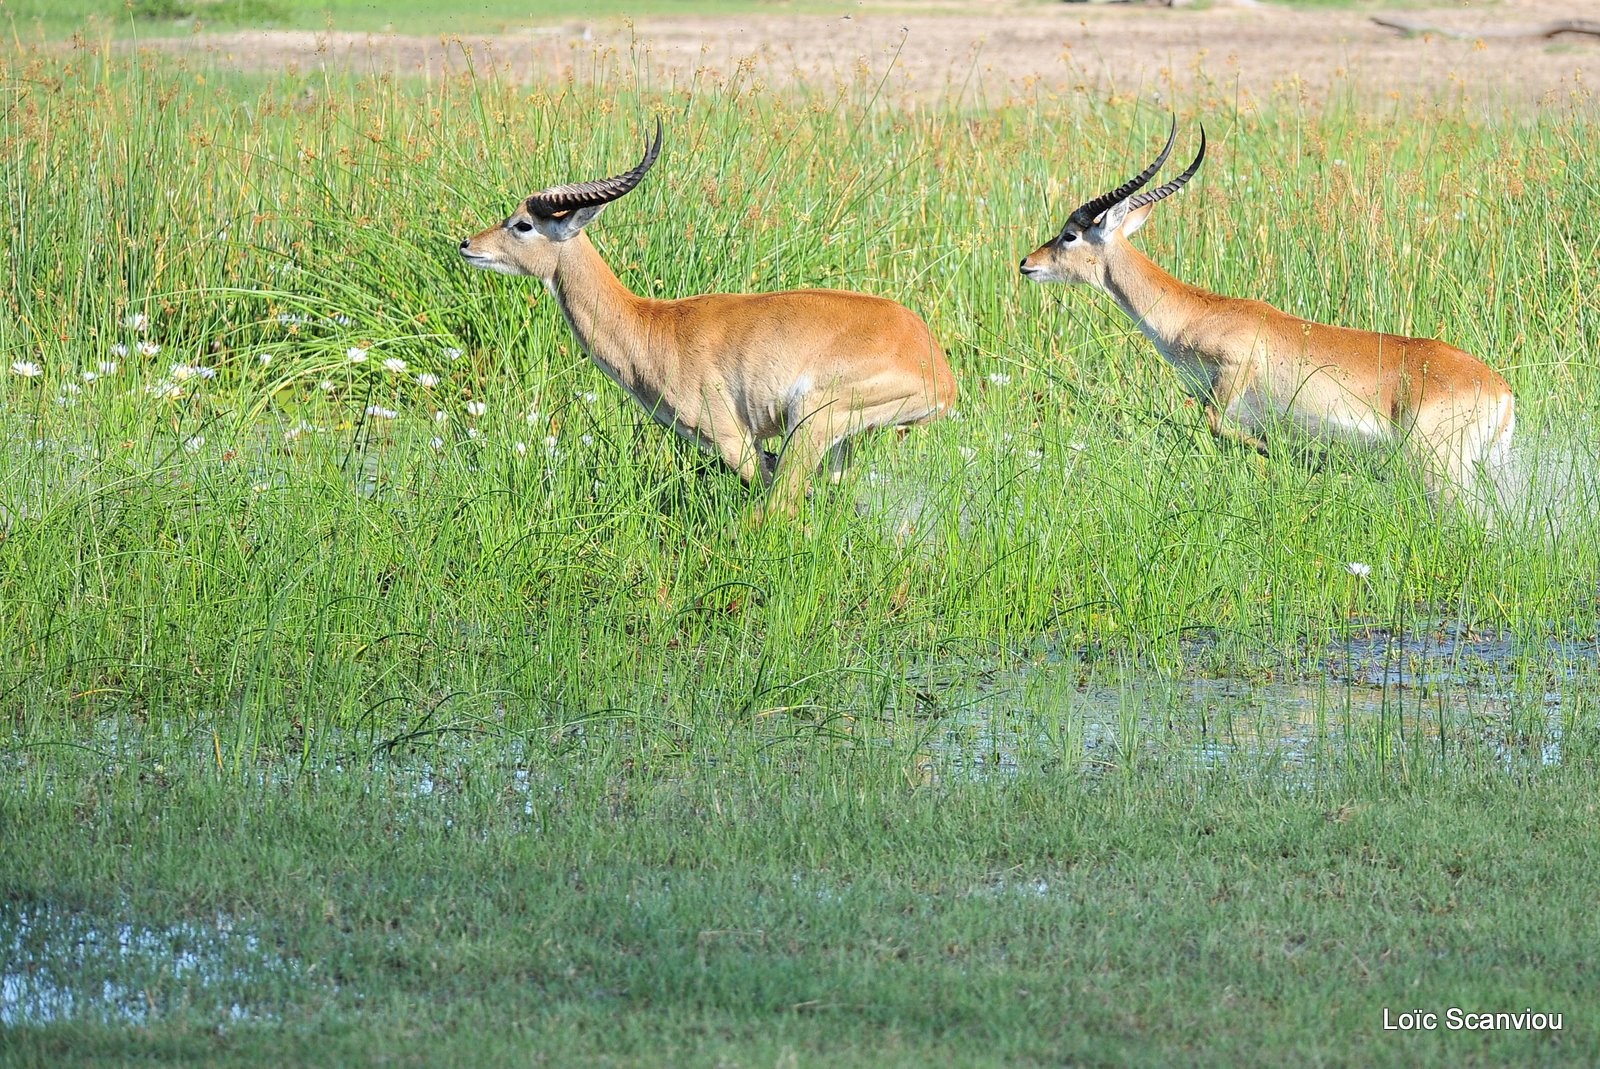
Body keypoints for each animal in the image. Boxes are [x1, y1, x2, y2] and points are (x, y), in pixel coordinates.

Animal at [457, 120, 953, 521]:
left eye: (523, 224)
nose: (466, 244)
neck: (652, 326)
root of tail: (939, 369)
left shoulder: (734, 441)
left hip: (812, 419)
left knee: (780, 507)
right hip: (840, 443)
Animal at [1017, 120, 1516, 512]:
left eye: (1069, 234)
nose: (1026, 263)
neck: (1199, 314)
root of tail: (1501, 391)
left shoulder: (1231, 380)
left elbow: (1221, 428)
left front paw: (1305, 457)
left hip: (1439, 469)